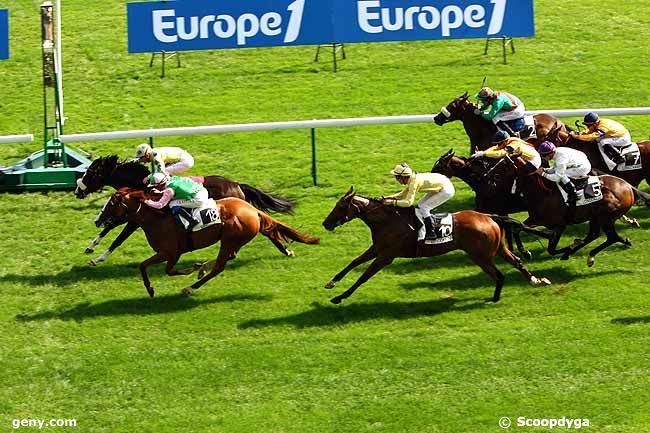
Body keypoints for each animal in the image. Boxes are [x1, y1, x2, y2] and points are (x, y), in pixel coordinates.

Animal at [73, 154, 294, 264]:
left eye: (91, 173)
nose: (76, 190)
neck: (141, 184)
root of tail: (238, 185)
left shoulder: (136, 218)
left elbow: (118, 238)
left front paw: (99, 258)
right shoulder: (130, 214)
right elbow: (109, 226)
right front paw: (91, 246)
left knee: (267, 231)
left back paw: (286, 250)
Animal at [95, 188, 318, 296]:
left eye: (111, 204)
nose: (97, 220)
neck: (157, 219)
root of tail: (252, 210)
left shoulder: (170, 252)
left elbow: (155, 268)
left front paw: (151, 289)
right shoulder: (170, 253)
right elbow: (151, 267)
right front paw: (195, 267)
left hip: (230, 239)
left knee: (220, 265)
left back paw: (191, 287)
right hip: (234, 239)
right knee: (232, 255)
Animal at [318, 186, 548, 304]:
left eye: (340, 207)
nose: (325, 224)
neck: (388, 220)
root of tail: (488, 216)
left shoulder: (386, 256)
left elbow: (363, 277)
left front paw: (340, 297)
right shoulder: (377, 248)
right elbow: (353, 263)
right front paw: (331, 283)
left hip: (480, 256)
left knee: (499, 275)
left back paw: (494, 298)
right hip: (499, 248)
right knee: (517, 262)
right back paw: (536, 280)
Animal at [486, 154, 648, 264]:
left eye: (503, 163)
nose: (487, 174)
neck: (542, 192)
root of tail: (628, 186)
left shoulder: (559, 224)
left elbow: (539, 237)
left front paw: (527, 252)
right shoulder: (537, 219)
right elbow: (518, 229)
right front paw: (526, 252)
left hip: (606, 216)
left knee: (608, 236)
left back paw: (586, 255)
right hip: (597, 218)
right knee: (597, 235)